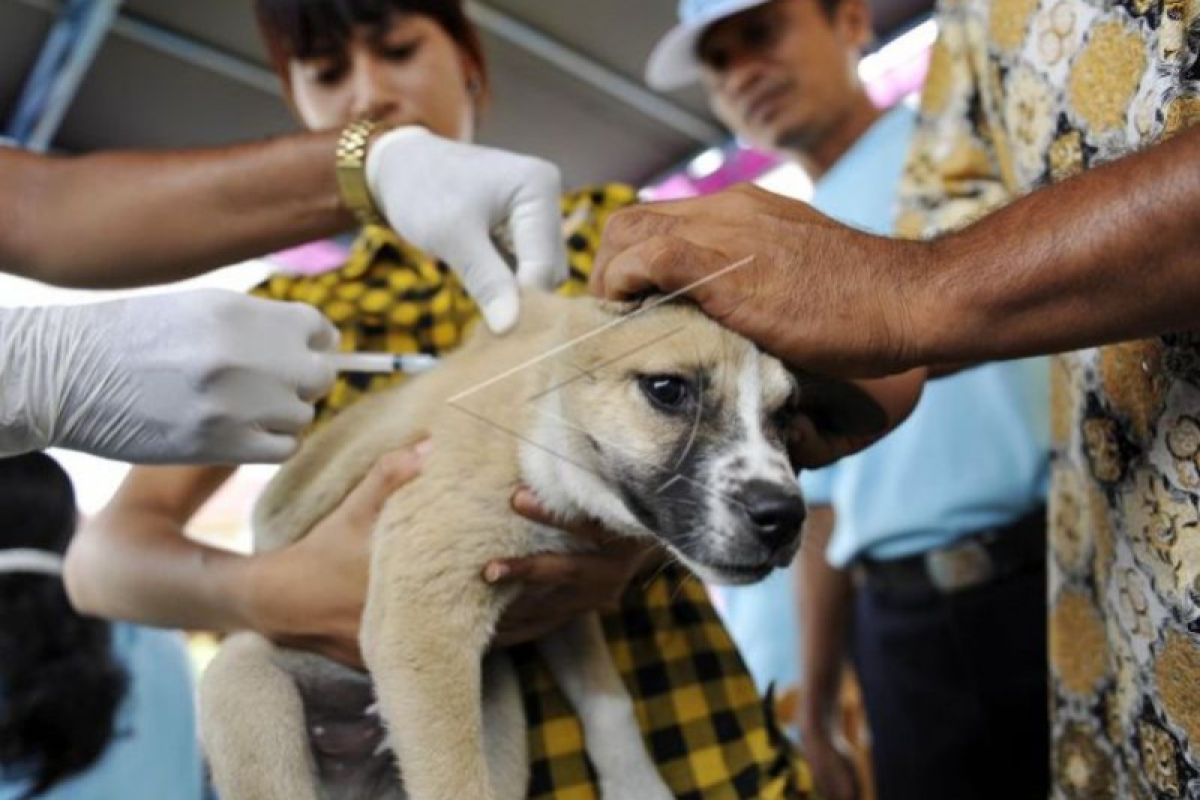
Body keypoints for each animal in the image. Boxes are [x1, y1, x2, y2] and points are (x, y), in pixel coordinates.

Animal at [199, 292, 835, 800]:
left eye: (785, 414)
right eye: (667, 390)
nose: (783, 517)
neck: (539, 429)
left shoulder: (561, 602)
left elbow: (610, 704)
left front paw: (638, 787)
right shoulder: (421, 620)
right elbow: (455, 785)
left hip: (498, 710)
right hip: (248, 687)